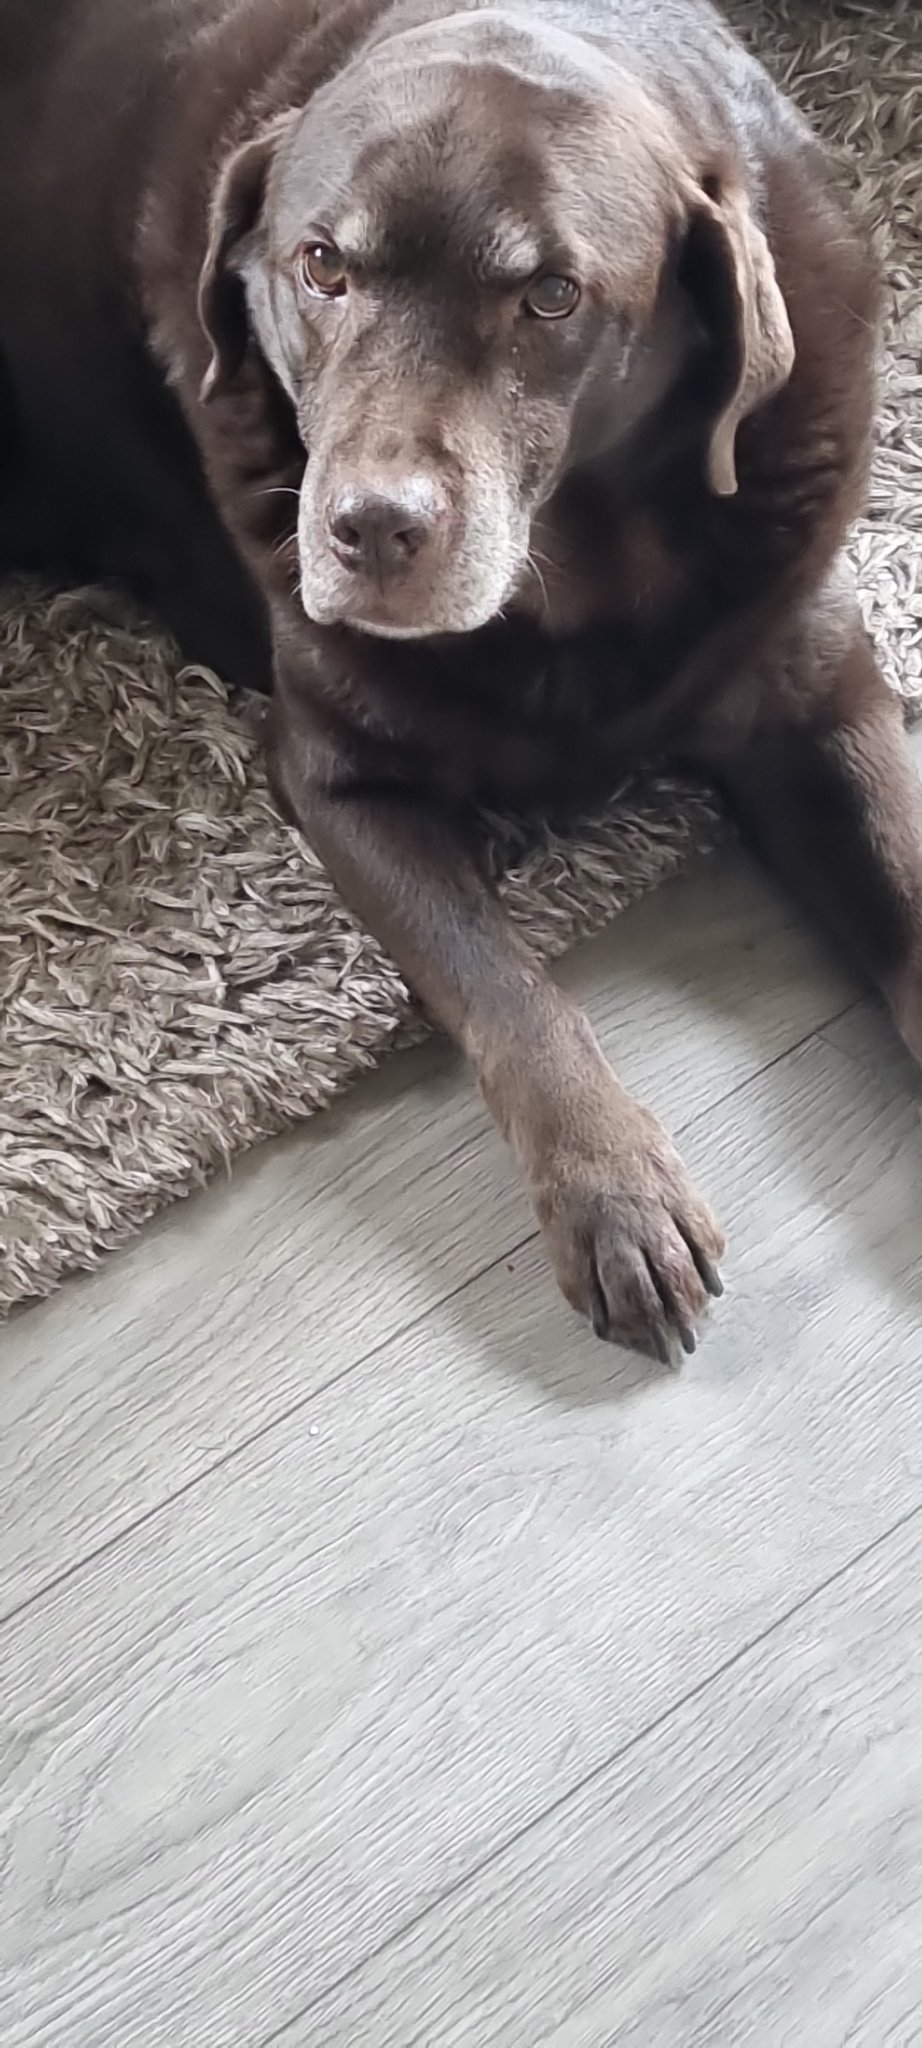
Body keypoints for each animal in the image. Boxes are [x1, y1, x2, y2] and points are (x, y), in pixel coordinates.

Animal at [2, 0, 920, 1364]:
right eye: (321, 267)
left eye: (550, 295)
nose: (371, 527)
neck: (577, 585)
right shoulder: (342, 779)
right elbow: (501, 981)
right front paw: (614, 1191)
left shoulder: (816, 685)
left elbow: (899, 875)